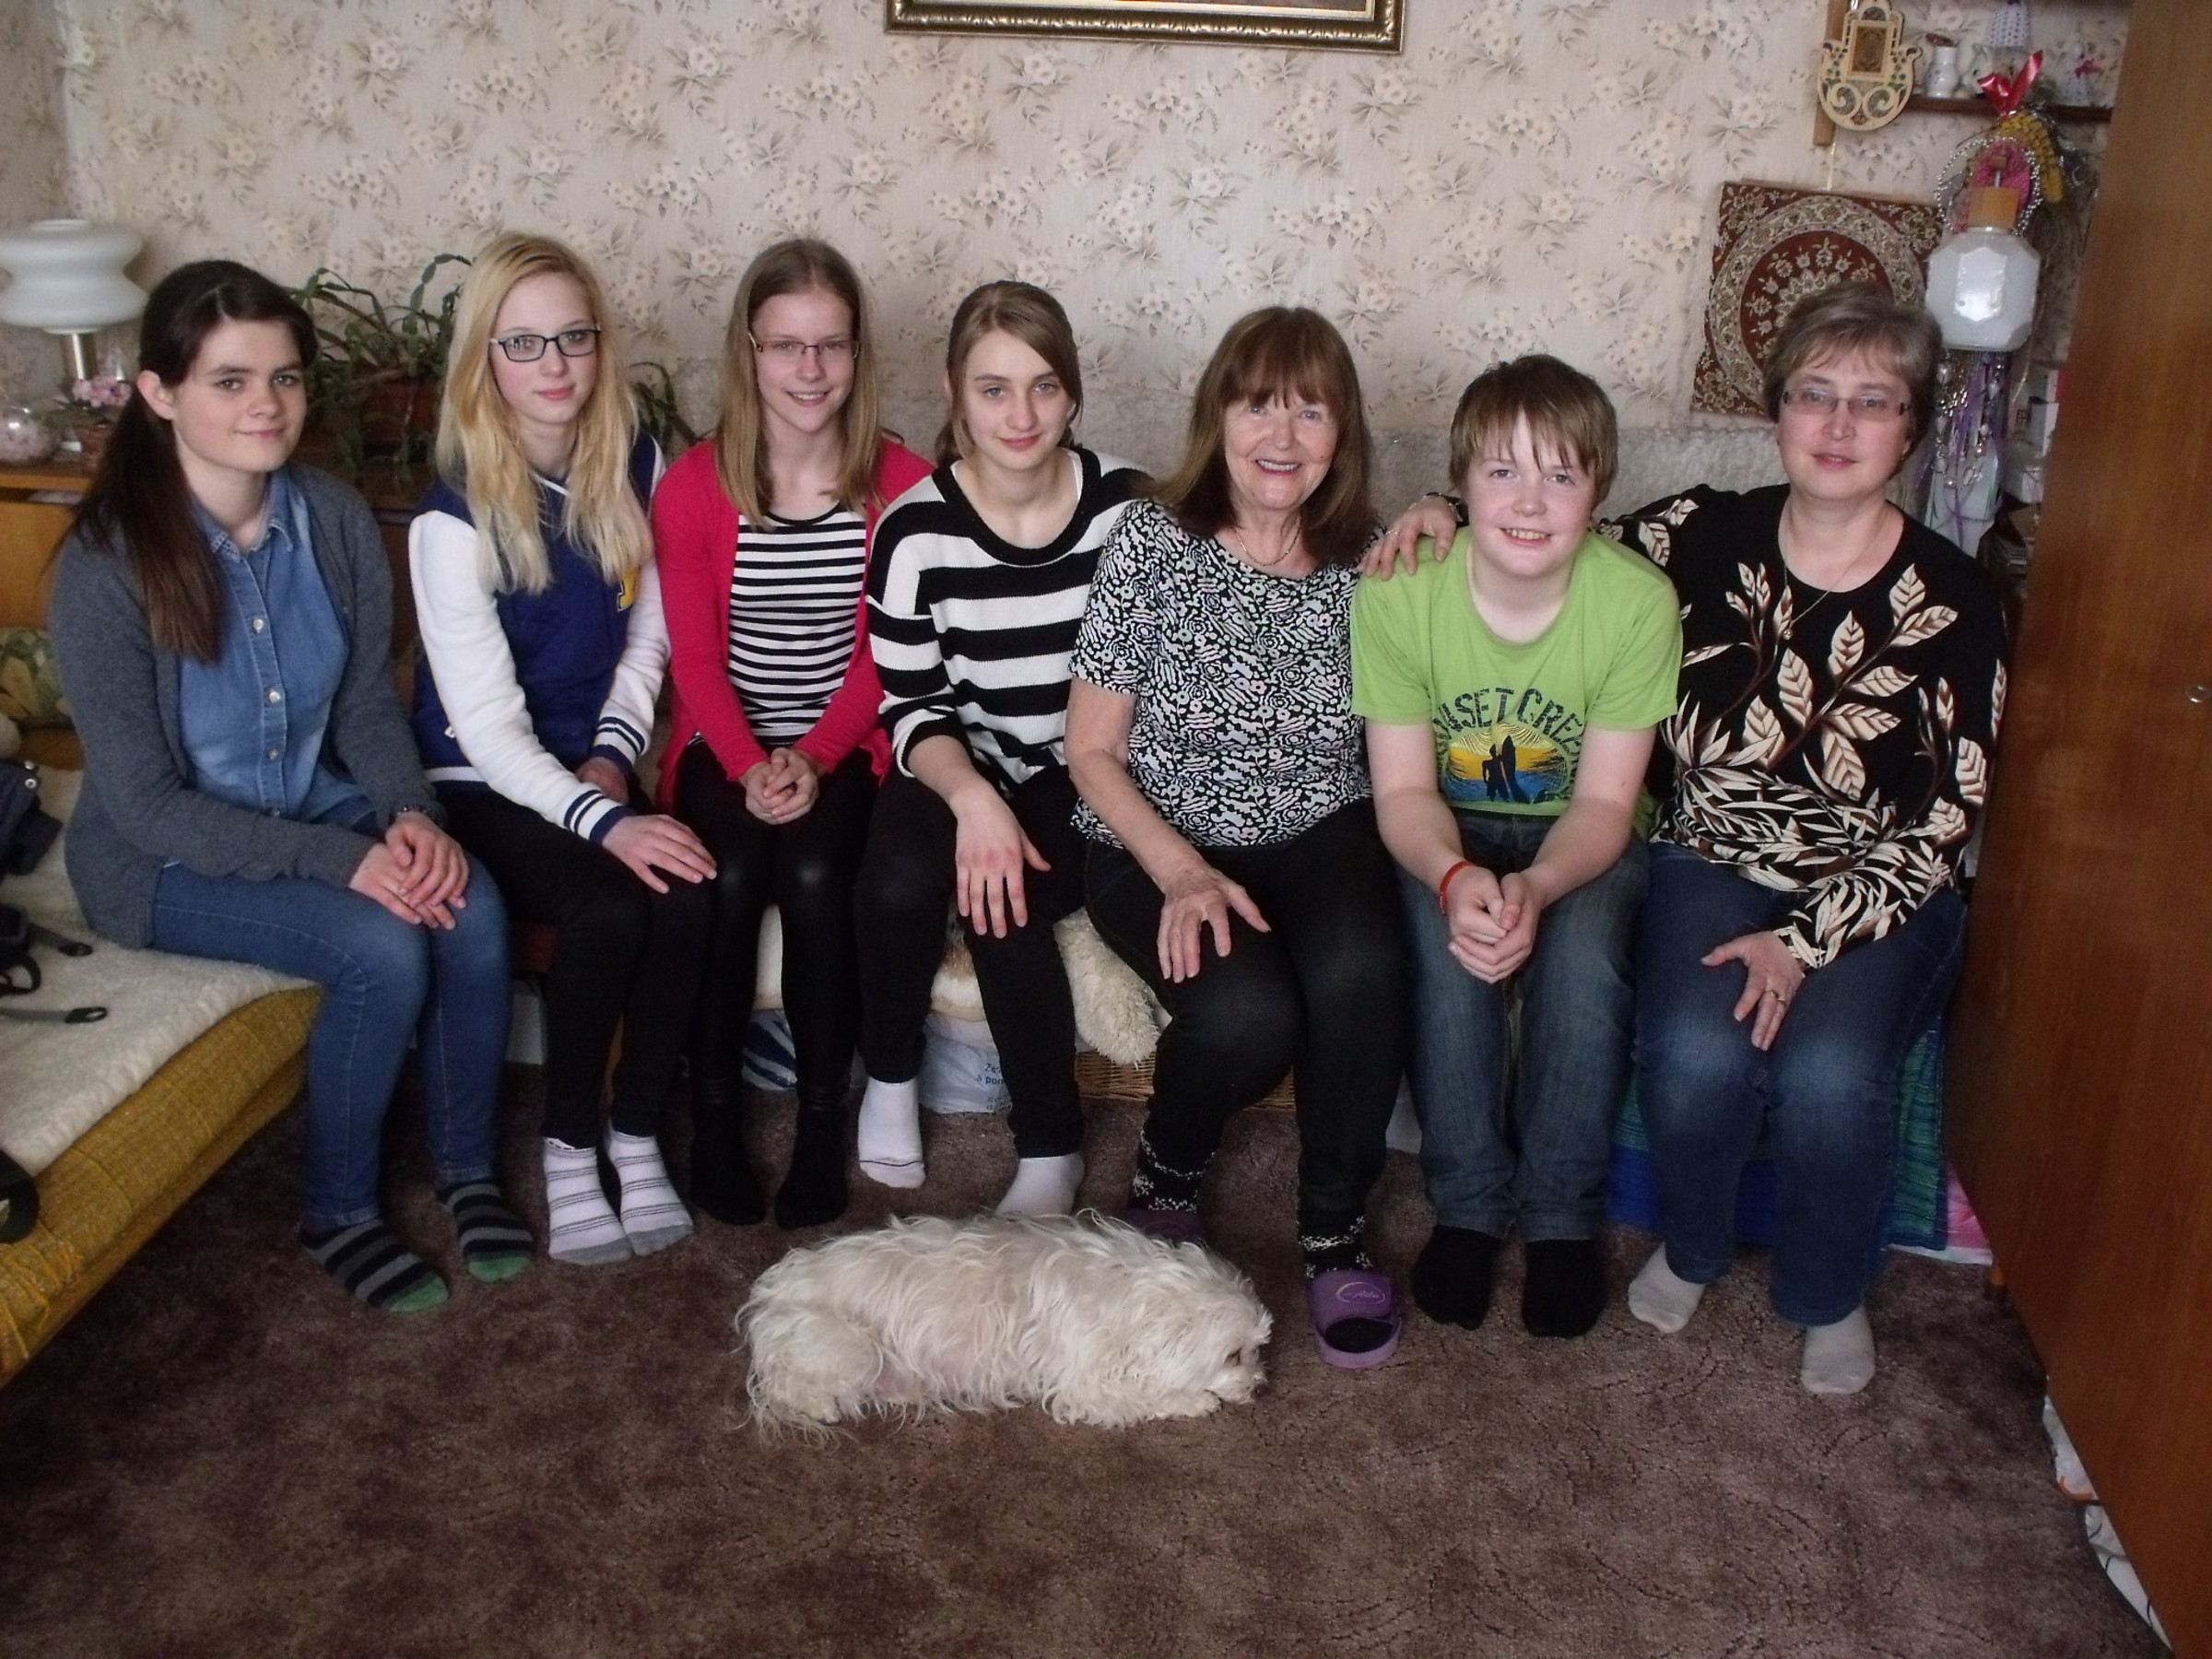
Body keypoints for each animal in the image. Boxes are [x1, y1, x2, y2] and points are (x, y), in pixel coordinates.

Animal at [739, 1212, 1272, 1433]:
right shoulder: (1086, 1386)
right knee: (792, 1387)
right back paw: (823, 1408)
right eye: (1232, 1355)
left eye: (1258, 1348)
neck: (1136, 1296)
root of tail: (765, 1302)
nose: (1260, 1388)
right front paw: (1196, 1401)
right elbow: (1144, 1396)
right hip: (852, 1349)